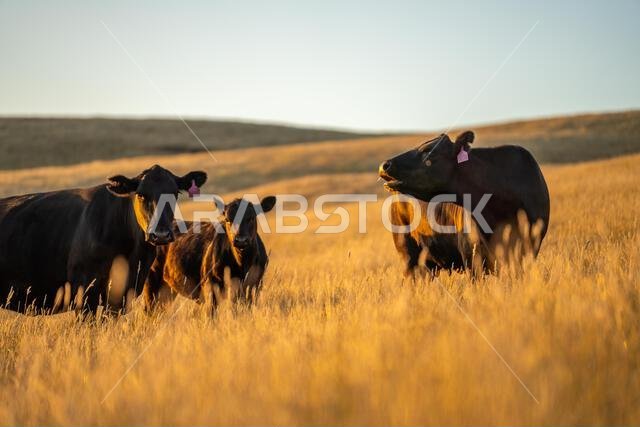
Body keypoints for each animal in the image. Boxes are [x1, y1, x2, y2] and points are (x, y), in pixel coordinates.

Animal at [142, 196, 276, 313]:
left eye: (251, 218)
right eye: (227, 219)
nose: (241, 240)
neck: (242, 264)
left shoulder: (254, 287)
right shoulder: (210, 286)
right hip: (151, 282)